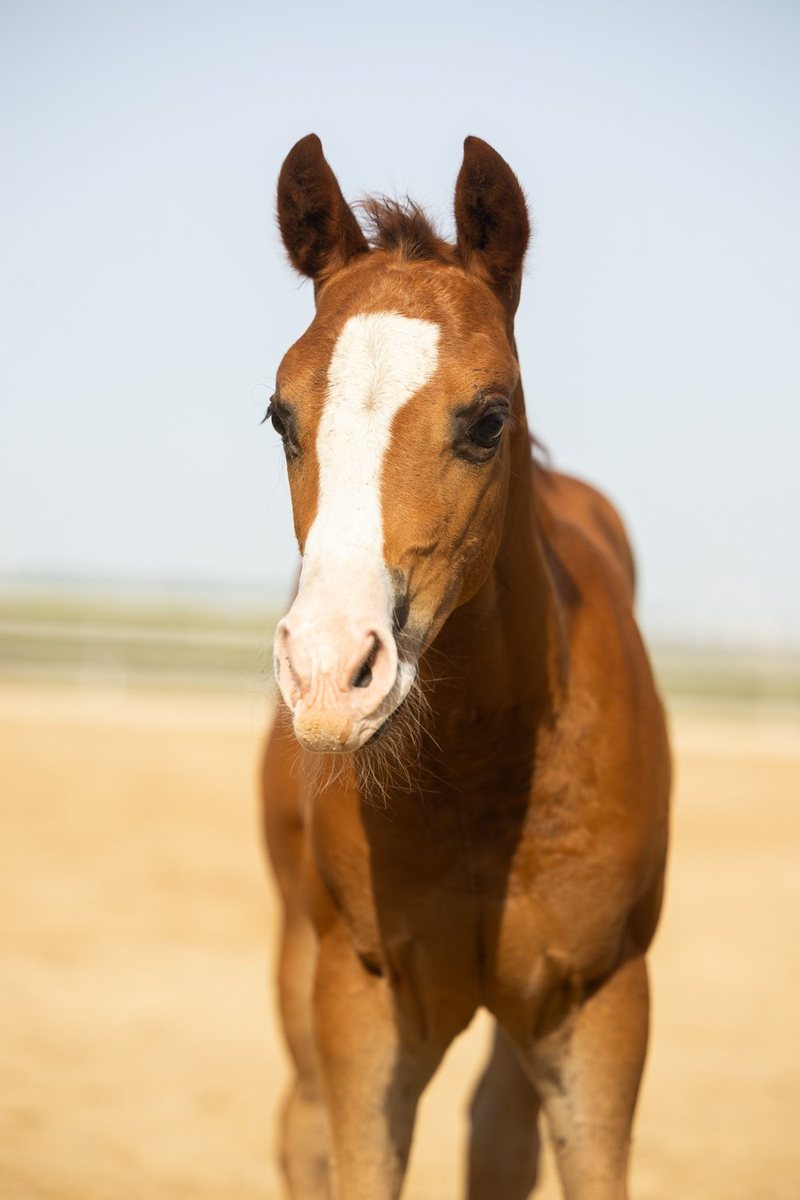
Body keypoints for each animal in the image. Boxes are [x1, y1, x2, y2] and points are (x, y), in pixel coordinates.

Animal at [261, 133, 670, 1200]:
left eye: (489, 418)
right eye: (280, 416)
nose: (331, 673)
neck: (484, 767)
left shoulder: (597, 1003)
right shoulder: (362, 1000)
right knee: (300, 1125)